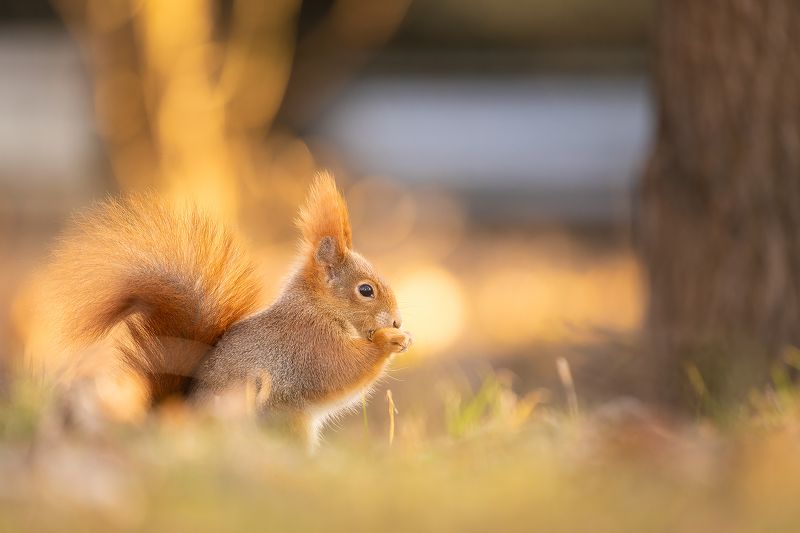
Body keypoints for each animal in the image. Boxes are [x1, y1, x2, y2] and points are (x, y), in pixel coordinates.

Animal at [37, 172, 412, 446]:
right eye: (366, 290)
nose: (396, 320)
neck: (318, 309)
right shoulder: (307, 345)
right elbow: (340, 371)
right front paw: (390, 341)